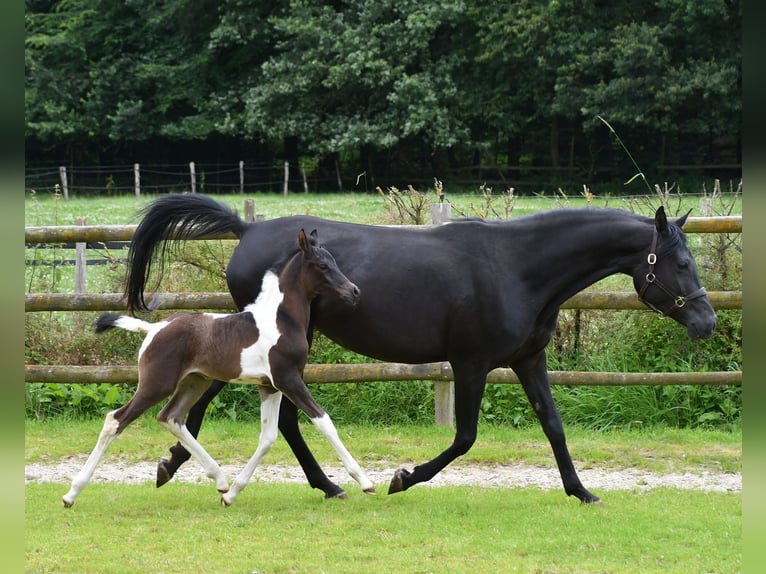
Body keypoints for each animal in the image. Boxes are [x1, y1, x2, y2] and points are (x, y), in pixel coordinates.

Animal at [63, 230, 376, 508]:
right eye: (322, 265)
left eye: (333, 261)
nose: (355, 291)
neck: (280, 319)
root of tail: (153, 329)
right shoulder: (288, 379)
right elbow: (324, 421)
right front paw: (364, 482)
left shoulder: (269, 385)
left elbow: (268, 438)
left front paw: (232, 495)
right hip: (157, 384)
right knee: (116, 420)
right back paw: (71, 494)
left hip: (194, 382)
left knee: (170, 417)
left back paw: (220, 480)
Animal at [123, 196, 716, 506]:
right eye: (681, 263)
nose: (707, 321)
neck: (517, 267)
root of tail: (246, 229)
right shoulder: (472, 363)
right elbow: (465, 437)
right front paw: (402, 477)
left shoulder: (529, 359)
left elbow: (553, 425)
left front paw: (581, 491)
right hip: (268, 345)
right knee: (226, 404)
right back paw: (181, 465)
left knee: (271, 416)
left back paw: (320, 485)